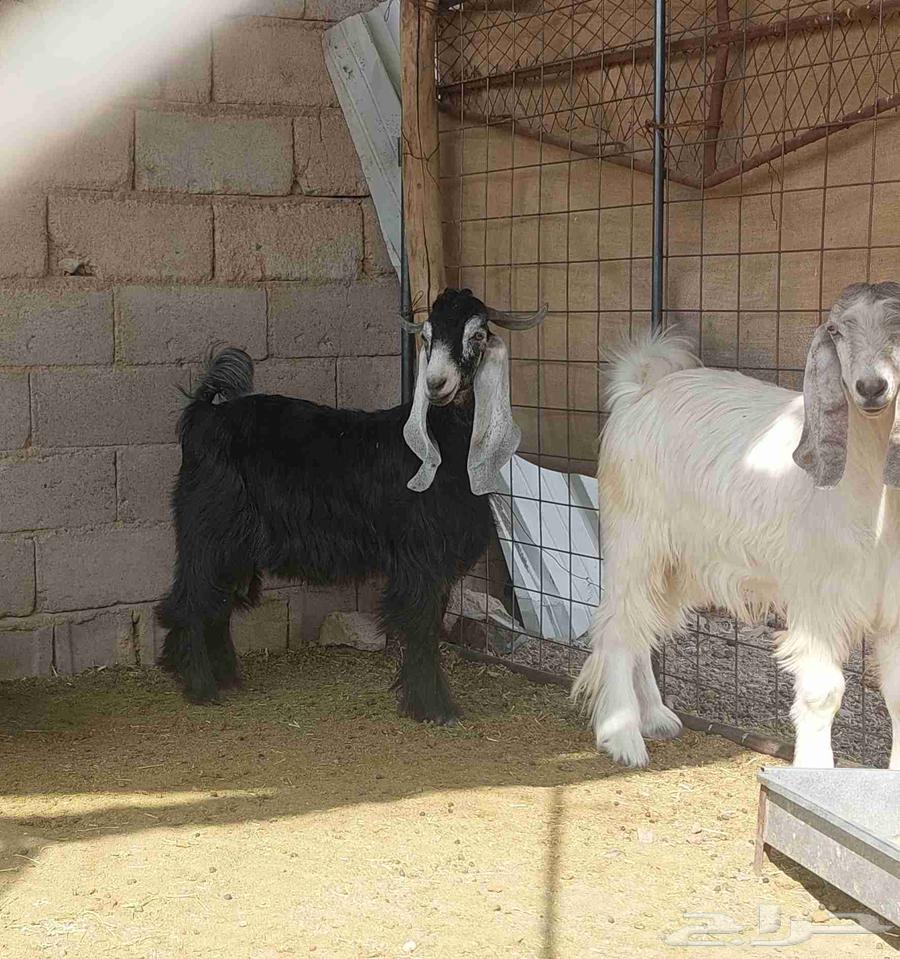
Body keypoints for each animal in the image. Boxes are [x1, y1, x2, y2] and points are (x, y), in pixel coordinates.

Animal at [156, 288, 545, 725]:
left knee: (218, 600)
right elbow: (421, 623)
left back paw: (225, 678)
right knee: (190, 599)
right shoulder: (420, 556)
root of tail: (203, 414)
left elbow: (428, 621)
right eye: (427, 337)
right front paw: (434, 707)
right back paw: (200, 686)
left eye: (477, 335)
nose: (436, 384)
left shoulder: (437, 563)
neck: (444, 446)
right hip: (206, 527)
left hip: (232, 542)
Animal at [573, 281, 900, 770]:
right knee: (617, 624)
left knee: (642, 626)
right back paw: (623, 735)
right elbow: (823, 692)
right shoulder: (819, 595)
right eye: (838, 332)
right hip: (635, 538)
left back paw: (655, 716)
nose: (872, 387)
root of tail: (640, 393)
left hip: (677, 561)